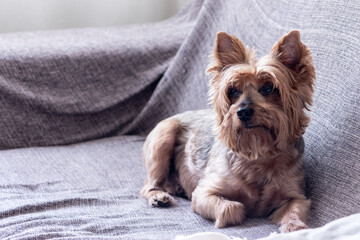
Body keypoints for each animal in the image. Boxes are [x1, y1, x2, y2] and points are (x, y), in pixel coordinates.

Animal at [141, 30, 316, 232]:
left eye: (269, 88)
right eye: (233, 91)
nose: (243, 111)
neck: (258, 153)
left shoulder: (296, 194)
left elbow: (295, 209)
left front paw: (295, 228)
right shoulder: (204, 193)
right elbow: (232, 208)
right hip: (163, 136)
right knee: (148, 185)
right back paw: (159, 196)